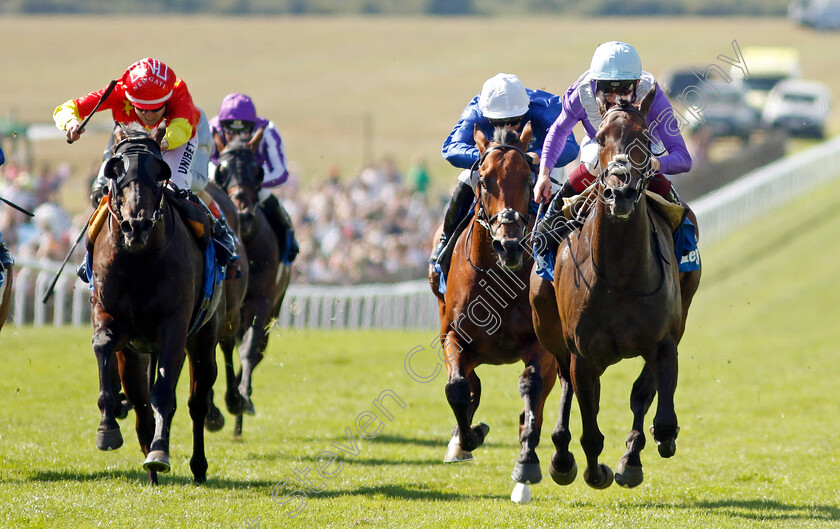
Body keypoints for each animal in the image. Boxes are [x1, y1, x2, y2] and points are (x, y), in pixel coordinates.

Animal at [90, 127, 236, 482]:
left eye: (161, 172)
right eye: (114, 169)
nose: (136, 225)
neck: (140, 258)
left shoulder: (174, 325)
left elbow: (164, 392)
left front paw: (159, 453)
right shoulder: (113, 320)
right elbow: (104, 346)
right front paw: (108, 428)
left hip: (203, 339)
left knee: (197, 402)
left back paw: (197, 465)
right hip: (136, 352)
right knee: (141, 402)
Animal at [210, 138, 292, 436]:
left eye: (258, 171)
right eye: (222, 169)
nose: (244, 214)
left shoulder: (261, 301)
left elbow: (249, 349)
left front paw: (241, 398)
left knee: (255, 348)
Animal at [430, 122, 560, 500]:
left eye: (527, 178)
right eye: (485, 180)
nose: (509, 245)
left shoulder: (541, 345)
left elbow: (531, 388)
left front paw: (527, 465)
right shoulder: (453, 337)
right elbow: (457, 388)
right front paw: (468, 438)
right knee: (470, 385)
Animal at [532, 85, 704, 486]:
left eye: (645, 137)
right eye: (599, 138)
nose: (619, 192)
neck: (621, 275)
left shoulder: (664, 341)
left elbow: (655, 409)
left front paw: (636, 456)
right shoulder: (582, 355)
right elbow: (591, 431)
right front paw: (595, 471)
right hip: (547, 324)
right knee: (563, 381)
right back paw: (560, 457)